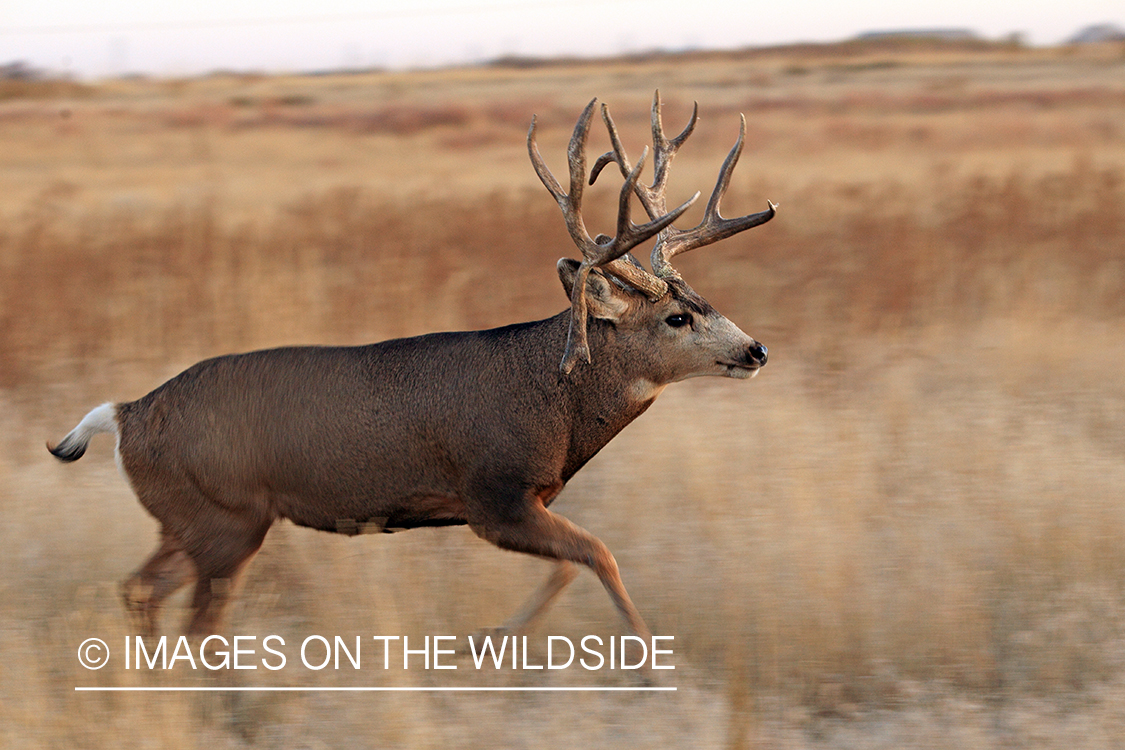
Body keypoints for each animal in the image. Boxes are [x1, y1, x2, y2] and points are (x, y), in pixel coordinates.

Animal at [48, 92, 774, 647]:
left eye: (704, 298)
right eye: (675, 318)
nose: (755, 350)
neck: (557, 403)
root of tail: (126, 415)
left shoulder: (520, 502)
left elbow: (576, 563)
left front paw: (484, 642)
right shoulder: (492, 496)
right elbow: (600, 553)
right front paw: (647, 664)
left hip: (189, 518)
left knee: (139, 590)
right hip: (227, 519)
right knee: (195, 625)